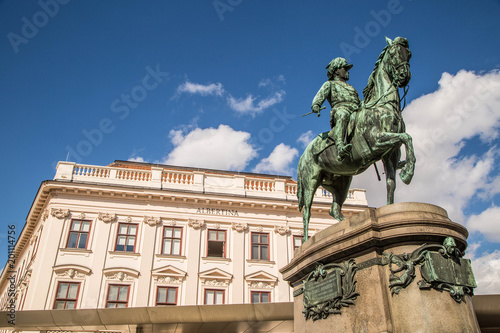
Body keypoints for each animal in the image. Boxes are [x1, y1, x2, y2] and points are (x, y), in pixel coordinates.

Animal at [296, 36, 414, 240]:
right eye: (393, 54)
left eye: (409, 54)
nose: (404, 77)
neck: (383, 106)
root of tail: (302, 156)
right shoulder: (377, 142)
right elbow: (407, 137)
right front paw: (408, 173)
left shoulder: (390, 153)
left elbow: (391, 182)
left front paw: (392, 201)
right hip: (310, 181)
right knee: (307, 212)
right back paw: (305, 241)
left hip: (341, 182)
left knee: (334, 209)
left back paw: (346, 225)